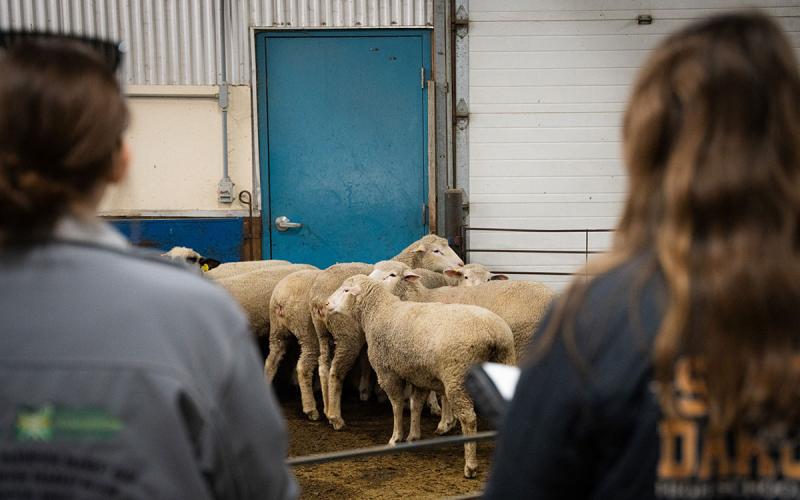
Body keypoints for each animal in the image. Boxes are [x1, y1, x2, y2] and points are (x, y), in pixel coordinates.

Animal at [263, 269, 323, 420]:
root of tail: (281, 299)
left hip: (277, 331)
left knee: (271, 361)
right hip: (309, 333)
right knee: (303, 368)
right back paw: (311, 409)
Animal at [310, 234, 465, 430]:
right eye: (436, 251)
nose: (461, 264)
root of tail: (317, 297)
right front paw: (432, 406)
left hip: (322, 333)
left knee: (323, 367)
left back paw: (325, 409)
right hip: (347, 335)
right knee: (335, 372)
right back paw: (335, 417)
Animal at [326, 274, 515, 478]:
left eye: (346, 290)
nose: (326, 304)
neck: (378, 312)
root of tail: (493, 333)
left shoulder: (387, 372)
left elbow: (397, 404)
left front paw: (396, 437)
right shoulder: (419, 374)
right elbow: (416, 404)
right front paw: (413, 436)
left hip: (457, 377)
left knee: (469, 419)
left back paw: (470, 466)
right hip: (505, 363)